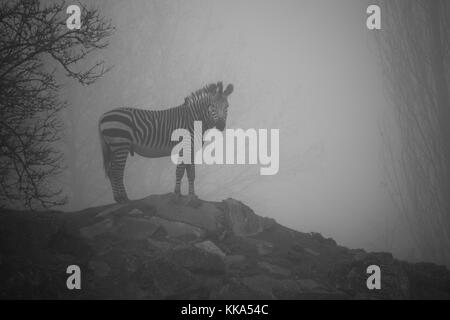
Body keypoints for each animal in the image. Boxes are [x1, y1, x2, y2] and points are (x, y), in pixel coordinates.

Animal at [97, 82, 232, 202]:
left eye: (227, 107)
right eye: (212, 106)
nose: (220, 126)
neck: (194, 120)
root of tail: (102, 116)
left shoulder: (191, 149)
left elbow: (191, 173)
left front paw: (192, 197)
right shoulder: (184, 146)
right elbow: (180, 171)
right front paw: (177, 195)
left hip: (114, 147)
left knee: (111, 171)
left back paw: (118, 198)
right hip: (121, 144)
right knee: (117, 171)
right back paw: (124, 198)